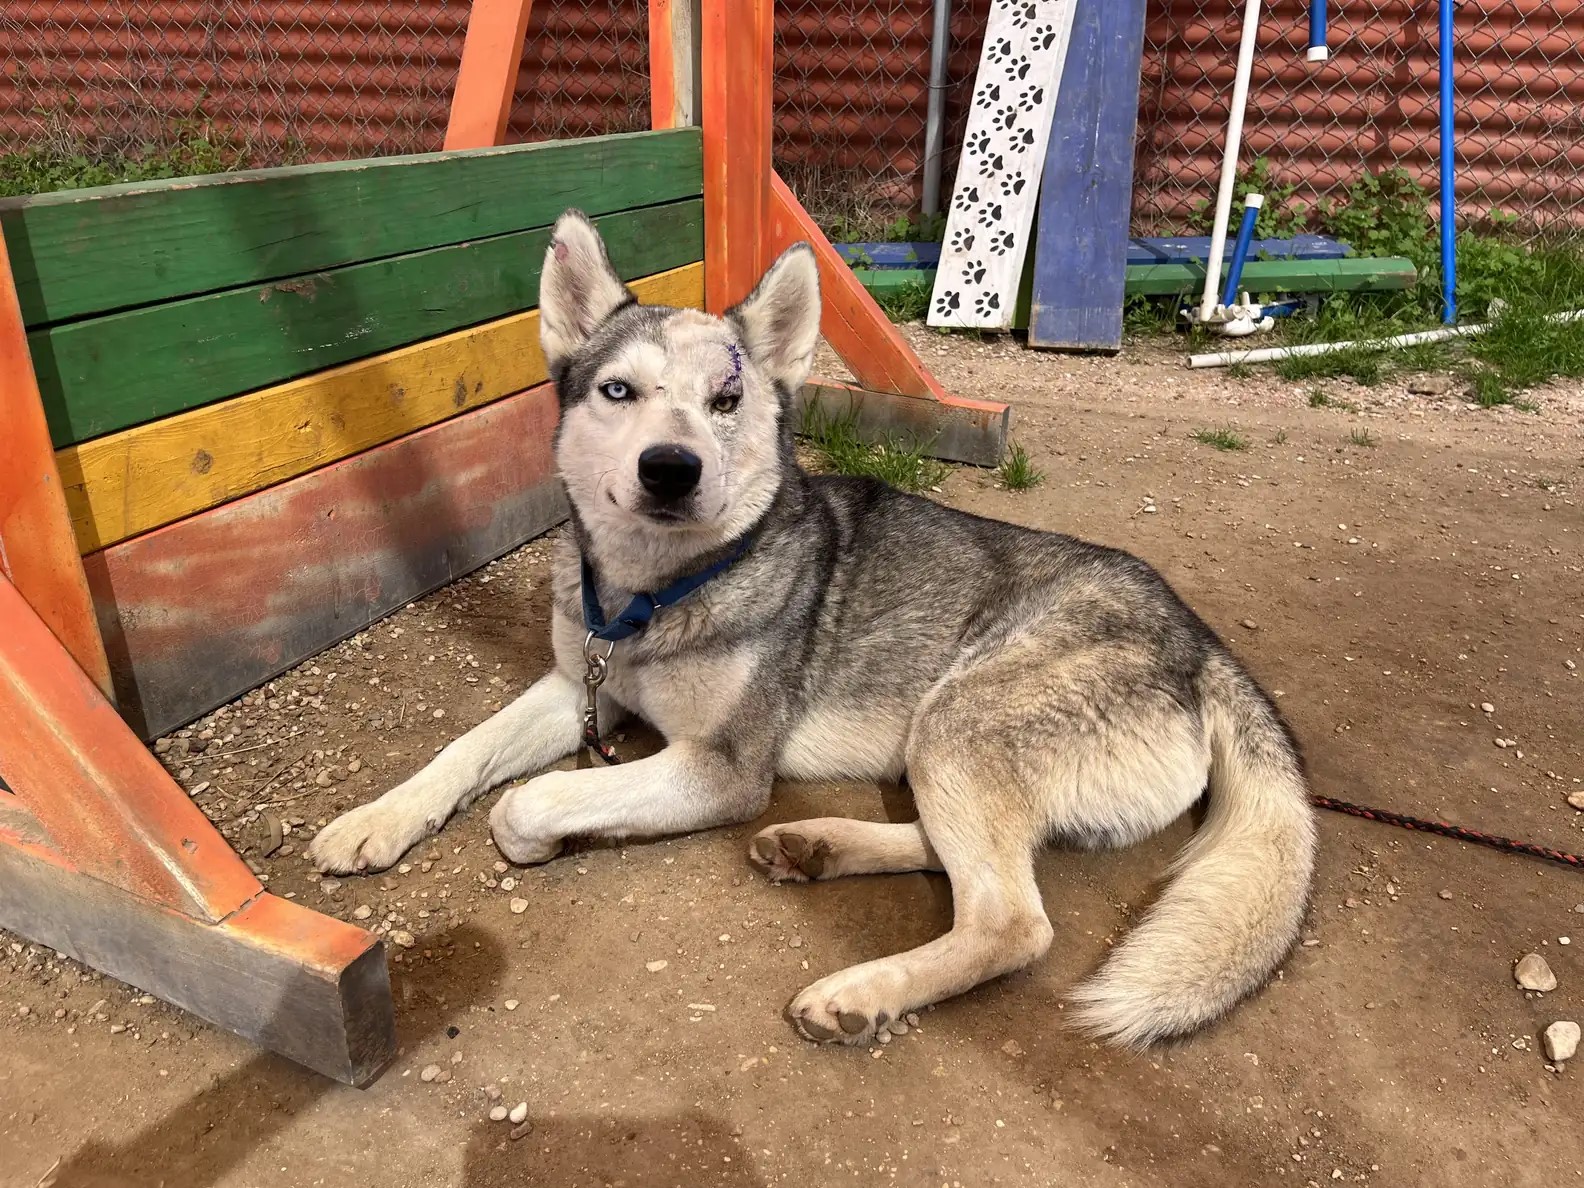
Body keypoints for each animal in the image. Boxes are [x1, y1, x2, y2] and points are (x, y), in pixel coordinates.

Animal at [305, 209, 1311, 1045]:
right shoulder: (575, 687)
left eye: (725, 402)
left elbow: (527, 801)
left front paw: (541, 837)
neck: (649, 599)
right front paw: (372, 822)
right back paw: (817, 846)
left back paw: (859, 991)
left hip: (961, 718)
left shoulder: (720, 770)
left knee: (1012, 920)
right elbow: (465, 752)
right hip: (944, 746)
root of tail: (1203, 643)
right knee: (970, 859)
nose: (670, 468)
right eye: (619, 392)